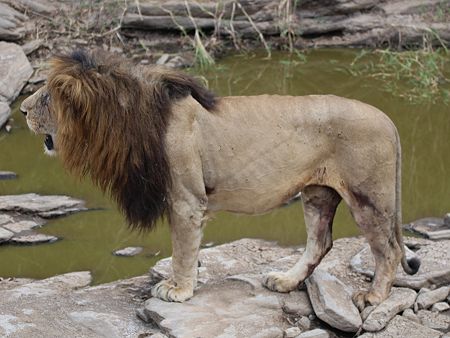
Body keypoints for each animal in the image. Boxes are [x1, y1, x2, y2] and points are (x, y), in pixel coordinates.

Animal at [20, 48, 422, 310]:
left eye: (47, 97)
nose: (22, 109)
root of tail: (387, 118)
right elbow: (184, 250)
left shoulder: (186, 200)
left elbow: (183, 249)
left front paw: (178, 290)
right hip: (317, 193)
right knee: (320, 242)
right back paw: (285, 281)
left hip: (368, 195)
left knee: (389, 249)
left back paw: (372, 296)